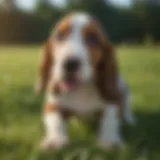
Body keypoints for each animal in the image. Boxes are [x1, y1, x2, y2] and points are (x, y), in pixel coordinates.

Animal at [35, 12, 134, 150]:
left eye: (93, 38)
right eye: (60, 36)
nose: (70, 63)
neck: (81, 88)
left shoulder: (113, 99)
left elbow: (110, 118)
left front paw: (111, 141)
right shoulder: (52, 105)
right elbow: (56, 120)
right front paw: (55, 140)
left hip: (124, 88)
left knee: (126, 108)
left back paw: (130, 121)